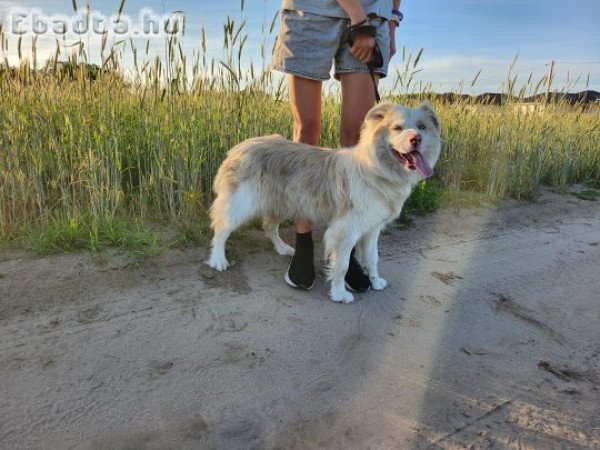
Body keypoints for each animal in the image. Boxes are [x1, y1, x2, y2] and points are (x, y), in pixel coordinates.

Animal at [206, 100, 440, 304]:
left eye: (422, 127)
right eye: (397, 128)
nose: (416, 139)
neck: (377, 169)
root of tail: (241, 145)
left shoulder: (373, 228)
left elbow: (372, 258)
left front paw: (375, 281)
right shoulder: (345, 230)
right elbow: (342, 265)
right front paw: (339, 293)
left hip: (281, 202)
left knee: (269, 227)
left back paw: (282, 249)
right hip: (241, 203)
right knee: (221, 229)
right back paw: (218, 259)